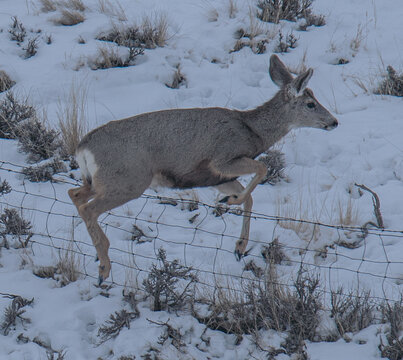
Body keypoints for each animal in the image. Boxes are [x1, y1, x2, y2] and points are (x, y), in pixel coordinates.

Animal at [68, 54, 338, 284]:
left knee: (75, 194)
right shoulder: (222, 158)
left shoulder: (216, 177)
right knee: (88, 208)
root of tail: (82, 148)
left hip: (99, 181)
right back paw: (104, 267)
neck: (252, 132)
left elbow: (249, 197)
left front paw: (239, 246)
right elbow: (260, 170)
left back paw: (96, 254)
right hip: (128, 181)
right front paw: (231, 202)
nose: (334, 122)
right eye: (310, 104)